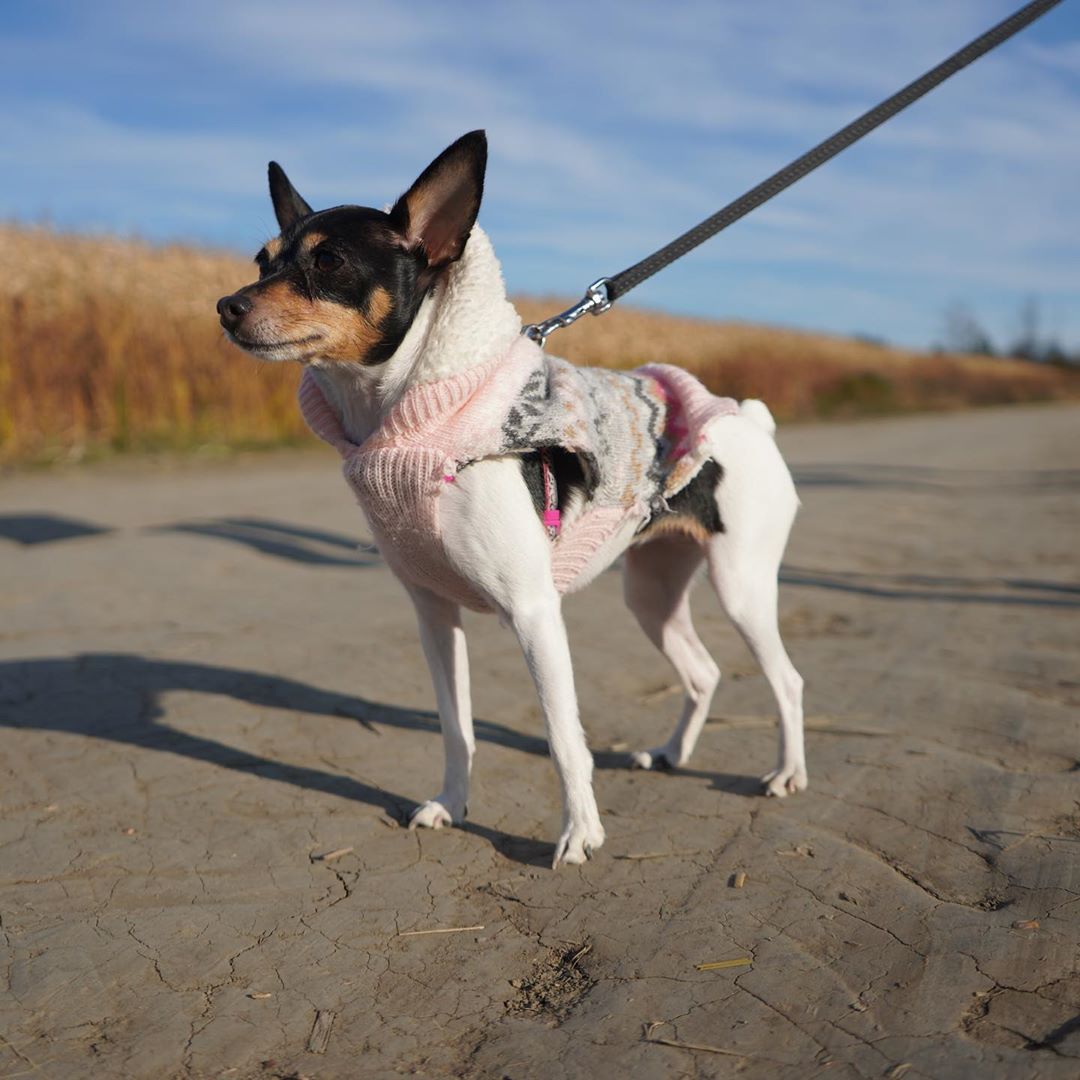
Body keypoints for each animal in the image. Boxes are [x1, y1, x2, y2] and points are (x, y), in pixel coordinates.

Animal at [219, 130, 807, 864]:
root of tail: (747, 420)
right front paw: (452, 803)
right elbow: (456, 726)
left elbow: (563, 738)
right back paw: (673, 752)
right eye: (263, 259)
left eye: (328, 260)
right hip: (651, 593)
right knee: (702, 673)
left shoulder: (534, 614)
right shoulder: (434, 615)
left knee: (786, 681)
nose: (227, 306)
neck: (414, 429)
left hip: (741, 588)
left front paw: (579, 833)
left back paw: (786, 773)